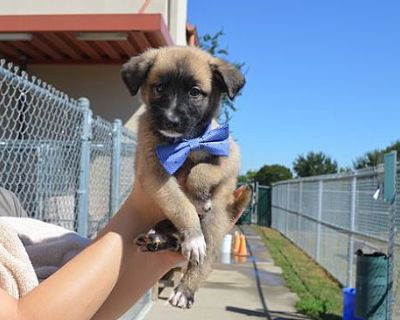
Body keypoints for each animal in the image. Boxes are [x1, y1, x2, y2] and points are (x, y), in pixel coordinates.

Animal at [121, 46, 247, 308]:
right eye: (159, 87)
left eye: (194, 92)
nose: (170, 120)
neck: (184, 141)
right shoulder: (153, 172)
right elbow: (180, 204)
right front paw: (193, 234)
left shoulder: (229, 156)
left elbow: (200, 171)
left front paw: (200, 197)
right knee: (174, 240)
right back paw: (156, 241)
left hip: (215, 221)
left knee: (205, 260)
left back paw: (184, 290)